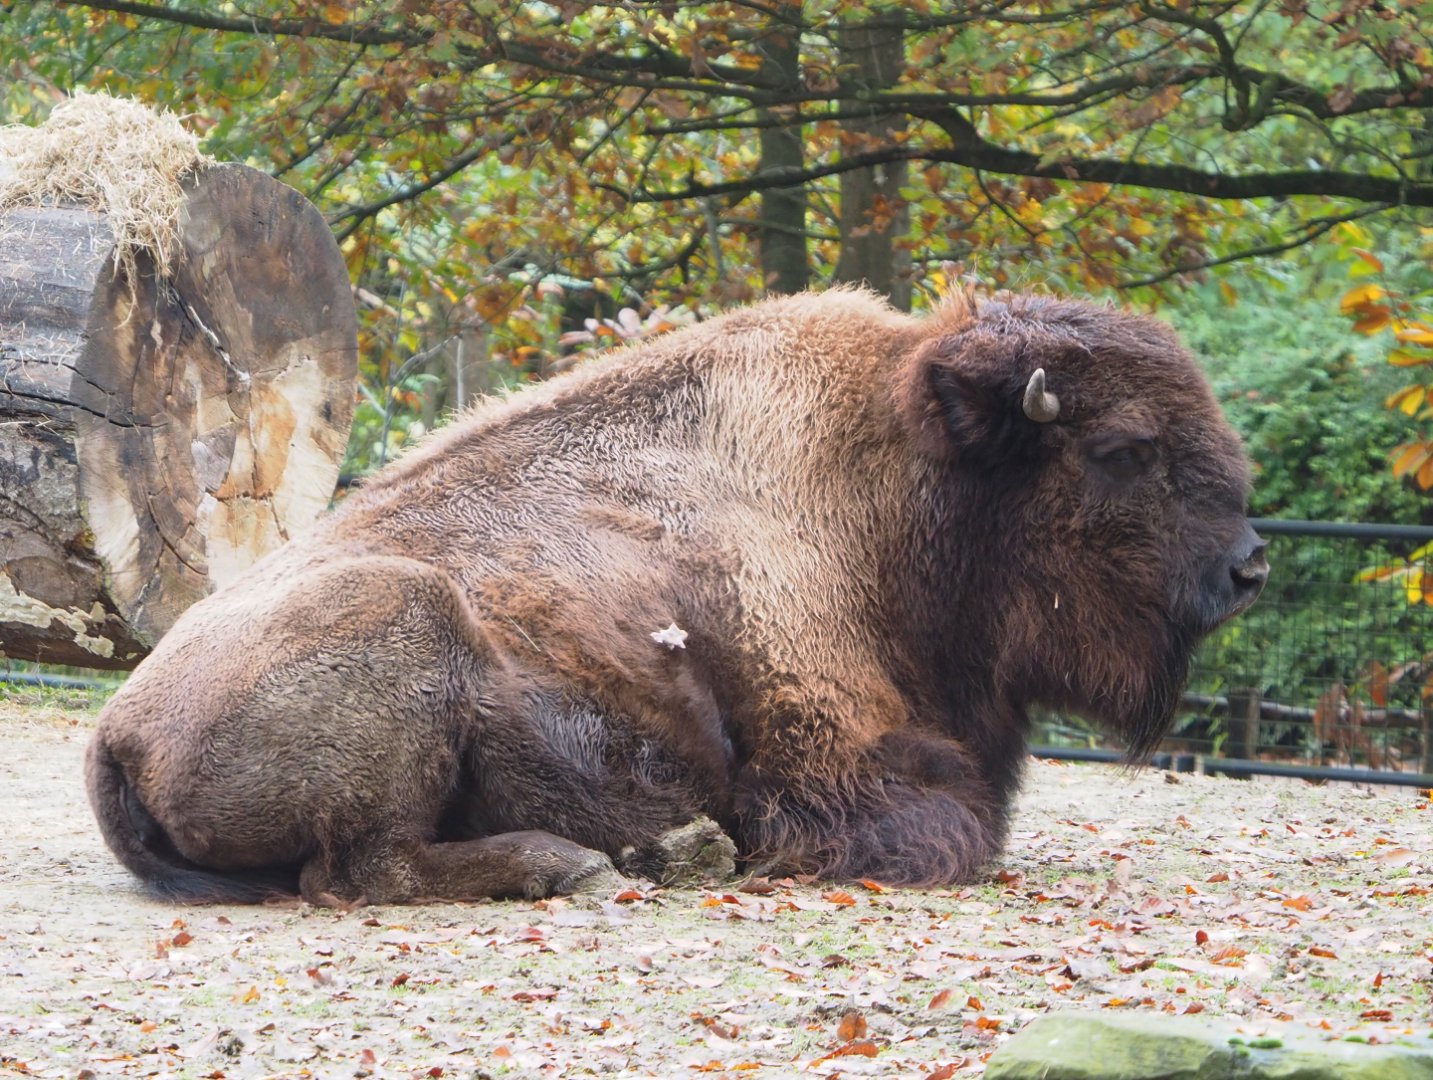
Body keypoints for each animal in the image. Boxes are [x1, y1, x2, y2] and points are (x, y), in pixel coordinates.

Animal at [87, 288, 1267, 903]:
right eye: (1122, 450)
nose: (1248, 566)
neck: (886, 480)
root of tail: (116, 728)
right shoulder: (832, 759)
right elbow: (942, 821)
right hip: (405, 620)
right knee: (363, 869)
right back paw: (590, 861)